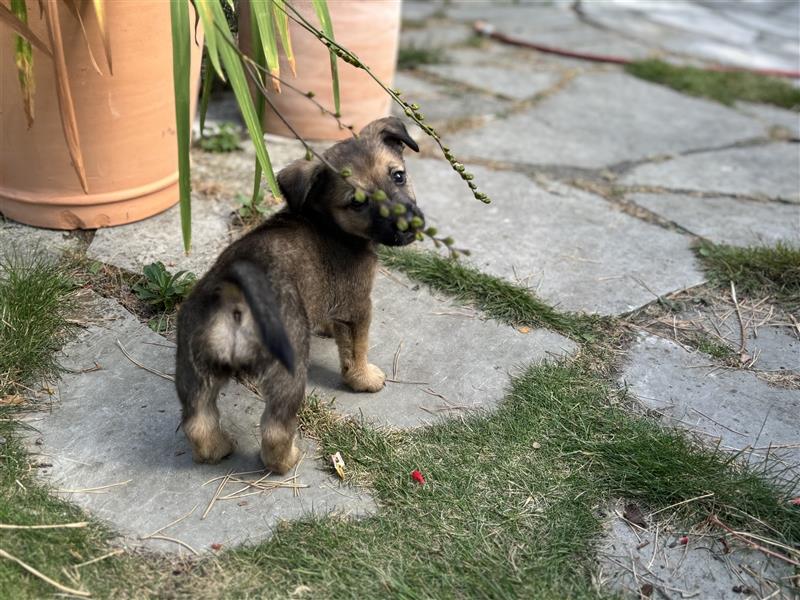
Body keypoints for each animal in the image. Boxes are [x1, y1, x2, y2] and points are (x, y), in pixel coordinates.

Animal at [173, 117, 424, 474]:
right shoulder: (358, 306)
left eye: (398, 175)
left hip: (193, 370)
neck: (325, 219)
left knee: (198, 421)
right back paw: (287, 460)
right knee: (275, 429)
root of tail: (233, 301)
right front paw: (363, 378)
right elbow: (356, 349)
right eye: (357, 202)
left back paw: (218, 449)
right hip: (286, 375)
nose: (409, 225)